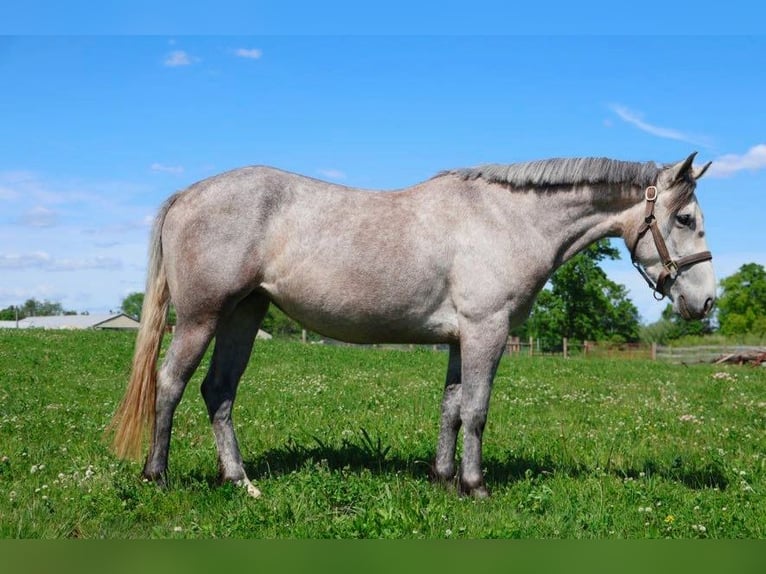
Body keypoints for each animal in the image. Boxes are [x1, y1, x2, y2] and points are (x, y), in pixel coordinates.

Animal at [109, 152, 715, 498]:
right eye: (685, 218)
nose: (706, 303)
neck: (505, 220)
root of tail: (188, 193)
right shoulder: (487, 332)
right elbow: (476, 411)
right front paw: (475, 487)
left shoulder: (461, 338)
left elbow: (450, 408)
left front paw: (443, 479)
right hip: (202, 317)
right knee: (170, 384)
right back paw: (157, 477)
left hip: (244, 313)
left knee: (218, 391)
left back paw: (239, 481)